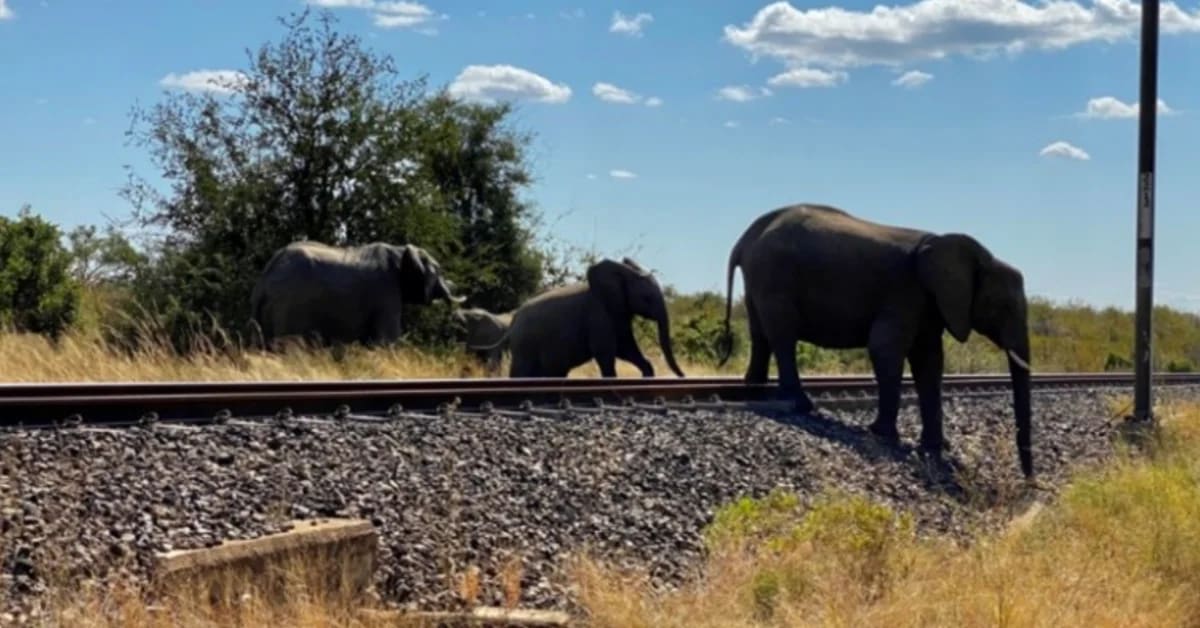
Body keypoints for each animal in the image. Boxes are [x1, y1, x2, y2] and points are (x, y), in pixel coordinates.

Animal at [250, 240, 465, 349]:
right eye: (439, 271)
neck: (400, 250)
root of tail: (265, 278)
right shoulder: (386, 292)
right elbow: (387, 338)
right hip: (289, 307)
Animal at [500, 257, 686, 378]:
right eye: (646, 298)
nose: (683, 376)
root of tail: (512, 321)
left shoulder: (618, 313)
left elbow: (626, 348)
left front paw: (647, 375)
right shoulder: (599, 315)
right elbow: (607, 354)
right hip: (524, 346)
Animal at [717, 203, 1034, 477]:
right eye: (1003, 306)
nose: (1030, 482)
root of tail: (745, 239)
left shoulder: (929, 304)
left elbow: (930, 362)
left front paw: (933, 448)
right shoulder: (905, 293)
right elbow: (885, 349)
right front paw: (884, 435)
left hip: (759, 278)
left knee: (760, 333)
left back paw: (755, 388)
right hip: (775, 276)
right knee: (782, 335)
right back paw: (802, 404)